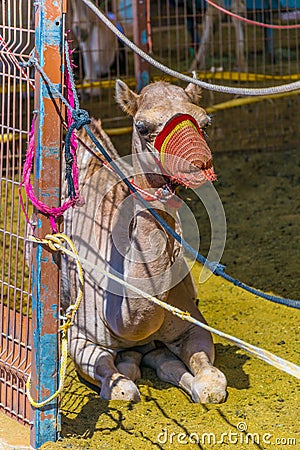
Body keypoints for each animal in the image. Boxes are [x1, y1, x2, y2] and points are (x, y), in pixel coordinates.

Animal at [63, 79, 227, 402]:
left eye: (205, 122)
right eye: (142, 126)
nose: (197, 161)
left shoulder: (192, 325)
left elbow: (211, 383)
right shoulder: (80, 337)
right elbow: (122, 389)